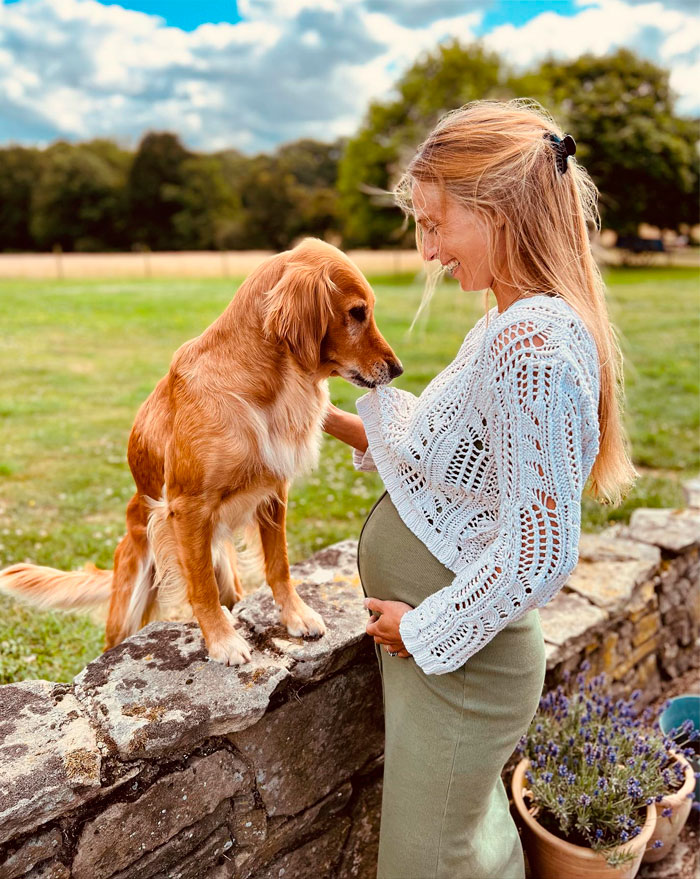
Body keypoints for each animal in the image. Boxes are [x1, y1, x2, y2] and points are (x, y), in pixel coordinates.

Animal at [0, 237, 402, 664]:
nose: (398, 369)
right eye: (357, 313)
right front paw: (223, 641)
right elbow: (201, 586)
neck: (260, 385)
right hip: (132, 597)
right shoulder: (187, 506)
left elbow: (279, 564)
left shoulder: (273, 491)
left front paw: (296, 615)